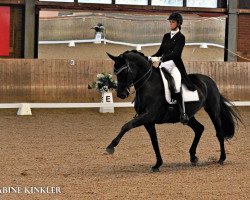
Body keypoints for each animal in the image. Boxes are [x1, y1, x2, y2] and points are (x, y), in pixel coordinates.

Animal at [105, 50, 240, 172]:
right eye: (115, 72)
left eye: (124, 72)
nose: (121, 94)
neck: (148, 85)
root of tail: (209, 81)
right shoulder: (148, 122)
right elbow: (154, 142)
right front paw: (157, 164)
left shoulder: (147, 116)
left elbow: (127, 126)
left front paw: (111, 147)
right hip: (189, 116)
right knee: (199, 129)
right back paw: (193, 157)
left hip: (213, 110)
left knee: (219, 133)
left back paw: (221, 159)